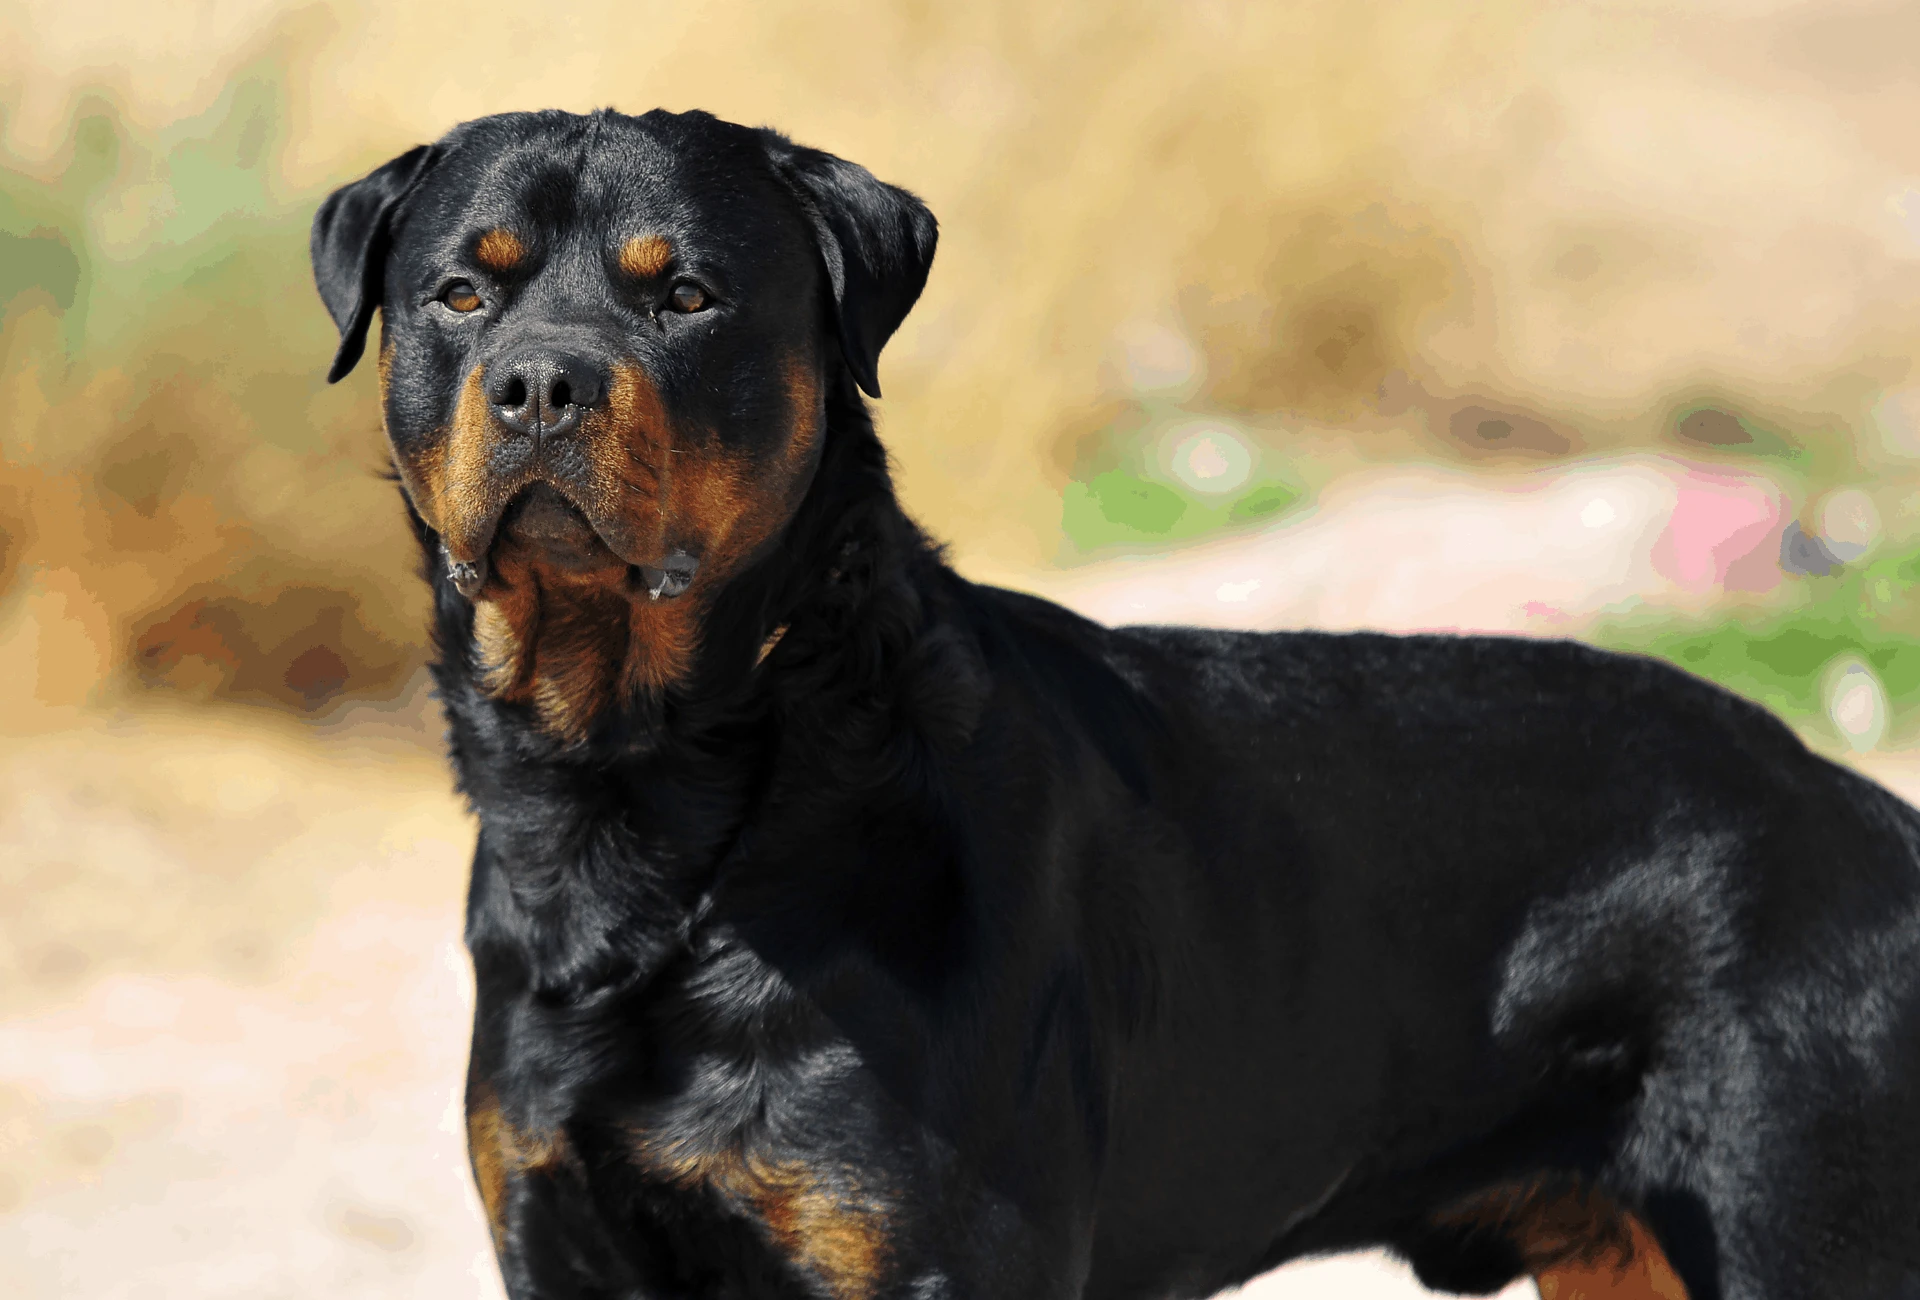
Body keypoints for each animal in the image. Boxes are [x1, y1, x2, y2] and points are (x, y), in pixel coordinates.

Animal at [314, 111, 1920, 1298]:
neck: (654, 798)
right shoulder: (558, 1234)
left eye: (687, 295)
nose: (542, 381)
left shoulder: (934, 1256)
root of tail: (1864, 813)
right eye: (461, 290)